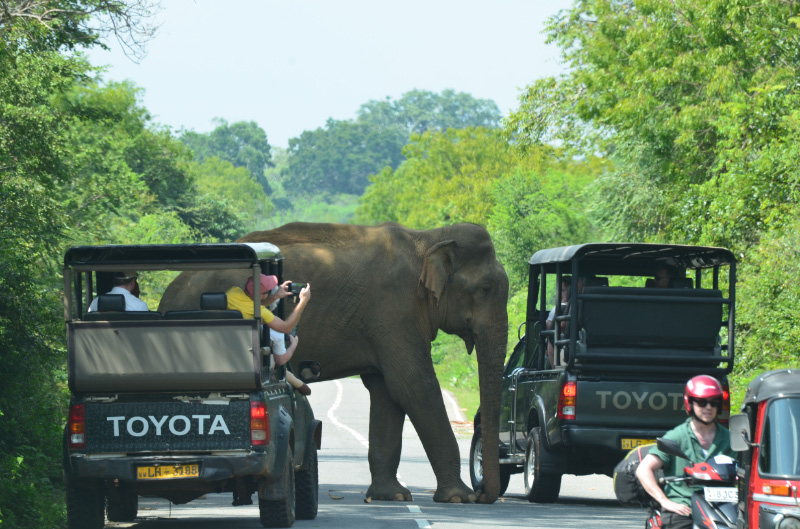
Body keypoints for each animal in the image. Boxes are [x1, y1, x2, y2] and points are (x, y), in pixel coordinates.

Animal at [158, 222, 509, 504]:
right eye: (484, 289)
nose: (483, 495)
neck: (427, 238)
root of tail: (168, 293)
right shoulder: (394, 312)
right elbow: (414, 387)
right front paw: (459, 499)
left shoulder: (387, 324)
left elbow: (387, 392)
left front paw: (391, 496)